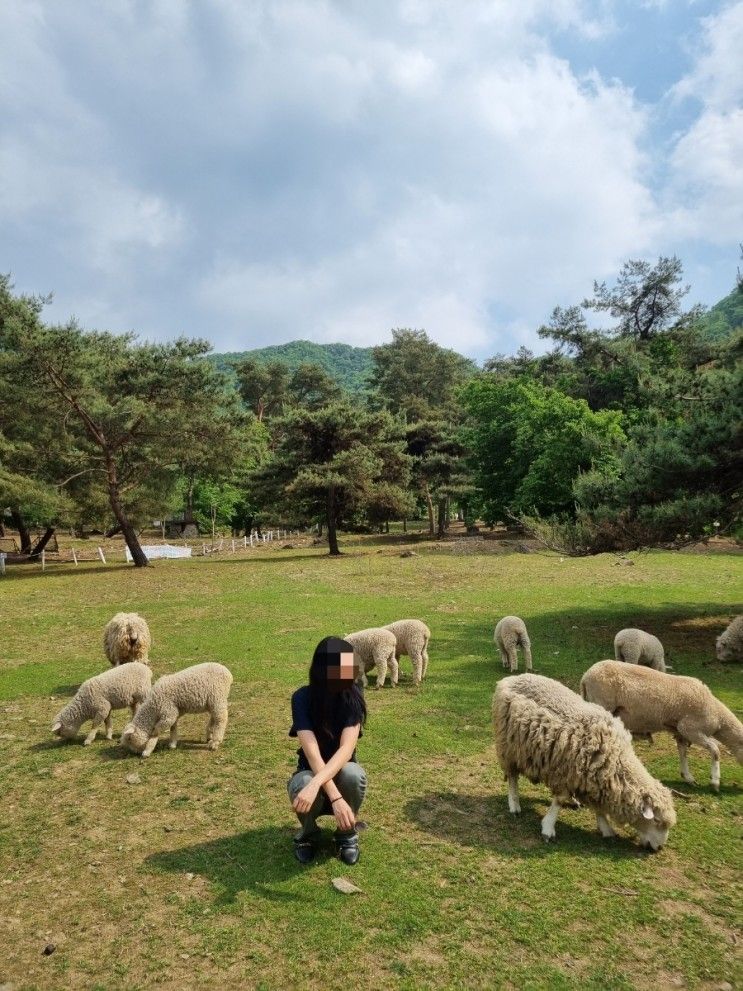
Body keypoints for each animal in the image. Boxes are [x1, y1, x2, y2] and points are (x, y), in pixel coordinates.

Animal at [494, 672, 680, 848]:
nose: (659, 848)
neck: (615, 761)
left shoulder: (592, 778)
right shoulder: (568, 772)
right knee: (512, 777)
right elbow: (559, 800)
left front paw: (606, 828)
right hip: (509, 748)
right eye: (656, 820)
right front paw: (548, 828)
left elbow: (597, 807)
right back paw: (514, 805)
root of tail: (513, 677)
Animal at [580, 664, 743, 796]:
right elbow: (715, 750)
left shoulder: (680, 733)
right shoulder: (690, 728)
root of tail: (586, 676)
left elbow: (683, 753)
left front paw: (688, 777)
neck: (719, 716)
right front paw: (715, 781)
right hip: (603, 704)